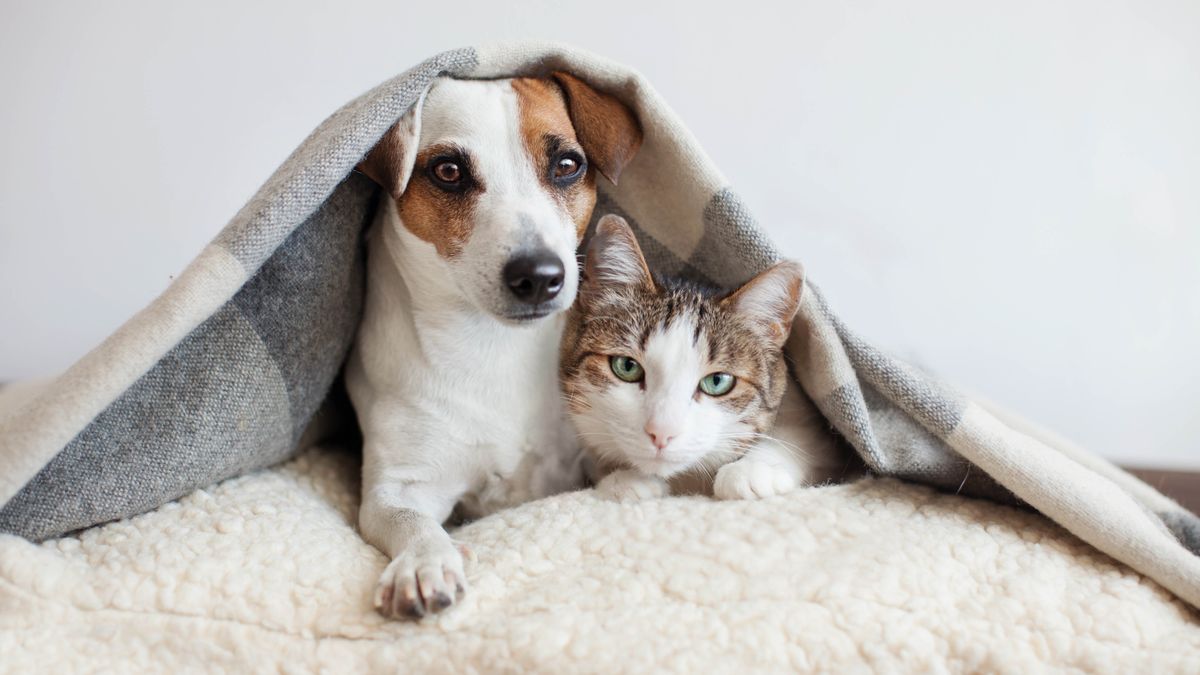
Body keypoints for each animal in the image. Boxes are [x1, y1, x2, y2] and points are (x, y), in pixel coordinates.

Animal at [345, 72, 643, 614]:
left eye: (567, 165)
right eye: (448, 171)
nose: (539, 276)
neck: (494, 346)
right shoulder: (397, 487)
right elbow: (410, 521)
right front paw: (424, 562)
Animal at [559, 211, 844, 499]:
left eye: (717, 382)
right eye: (627, 366)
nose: (661, 433)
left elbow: (800, 437)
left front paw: (753, 470)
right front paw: (625, 479)